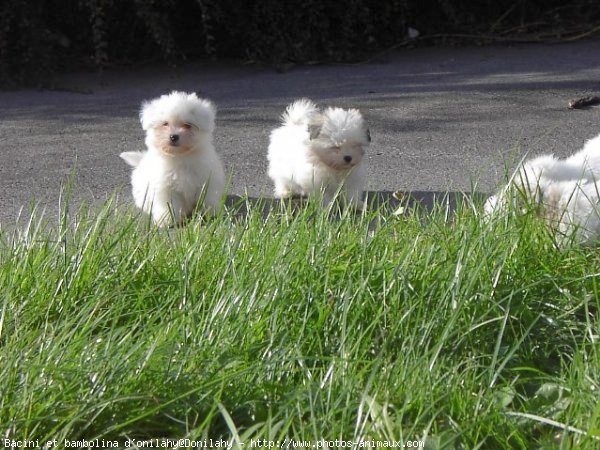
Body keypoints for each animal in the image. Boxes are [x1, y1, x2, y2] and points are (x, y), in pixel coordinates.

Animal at [119, 91, 225, 227]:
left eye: (187, 125)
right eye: (165, 123)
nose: (173, 136)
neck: (180, 157)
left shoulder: (206, 181)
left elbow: (207, 199)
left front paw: (209, 214)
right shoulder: (165, 187)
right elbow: (169, 204)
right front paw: (167, 220)